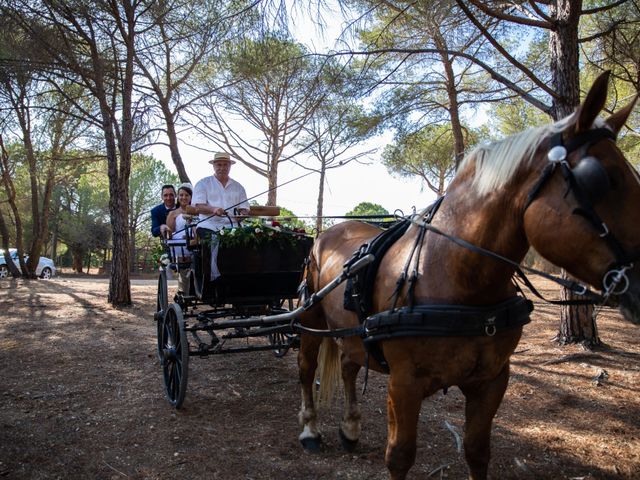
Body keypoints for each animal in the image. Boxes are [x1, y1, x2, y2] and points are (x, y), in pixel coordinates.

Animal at [298, 71, 636, 480]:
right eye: (601, 179)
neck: (456, 277)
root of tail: (326, 232)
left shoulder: (491, 380)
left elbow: (476, 451)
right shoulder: (404, 384)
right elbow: (400, 456)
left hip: (349, 330)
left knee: (348, 365)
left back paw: (350, 428)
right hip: (311, 319)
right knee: (306, 369)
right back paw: (310, 429)